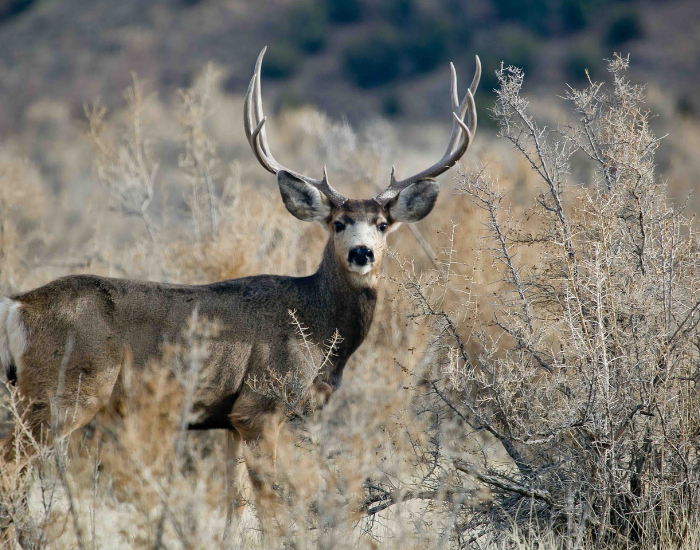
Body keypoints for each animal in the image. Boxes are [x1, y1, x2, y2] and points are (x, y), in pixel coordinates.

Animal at [0, 47, 479, 533]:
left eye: (382, 224)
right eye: (338, 222)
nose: (361, 252)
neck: (316, 326)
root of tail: (17, 306)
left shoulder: (229, 419)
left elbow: (236, 503)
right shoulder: (262, 405)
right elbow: (270, 507)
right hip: (62, 392)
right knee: (11, 463)